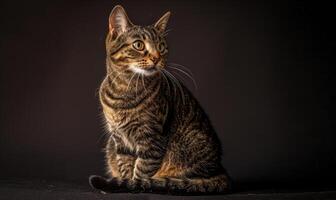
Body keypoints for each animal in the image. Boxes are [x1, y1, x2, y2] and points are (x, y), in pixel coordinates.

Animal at [89, 5, 231, 195]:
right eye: (138, 45)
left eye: (162, 47)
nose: (156, 58)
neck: (125, 89)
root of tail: (220, 169)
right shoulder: (119, 140)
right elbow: (126, 166)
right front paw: (124, 182)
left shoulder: (152, 139)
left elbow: (141, 171)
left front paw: (132, 186)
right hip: (111, 146)